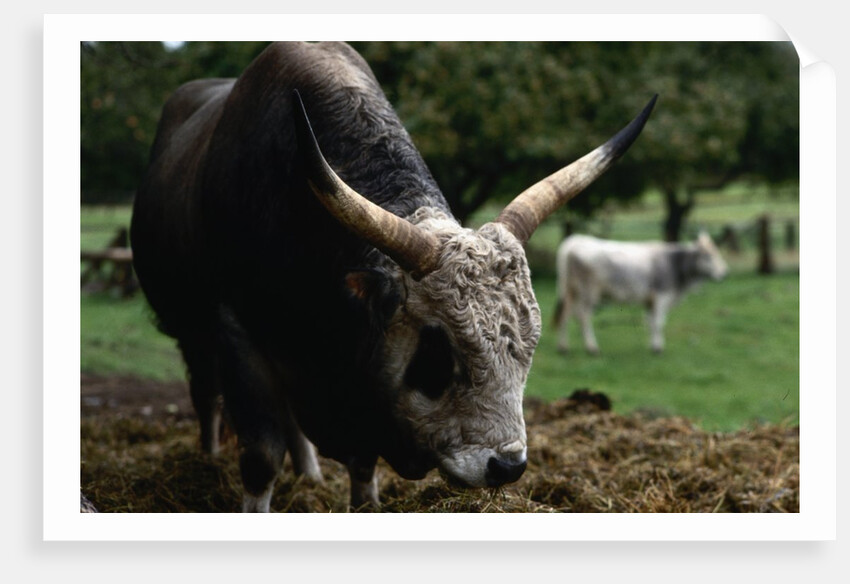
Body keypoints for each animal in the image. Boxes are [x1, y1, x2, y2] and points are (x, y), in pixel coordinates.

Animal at [130, 41, 655, 512]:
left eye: (528, 349)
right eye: (438, 350)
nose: (507, 467)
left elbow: (362, 469)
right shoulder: (237, 331)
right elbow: (261, 457)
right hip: (193, 334)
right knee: (207, 396)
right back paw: (208, 460)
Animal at [553, 231, 728, 355]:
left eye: (717, 253)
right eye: (708, 256)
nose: (724, 273)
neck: (674, 263)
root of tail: (574, 240)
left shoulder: (649, 301)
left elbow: (650, 323)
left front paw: (653, 346)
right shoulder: (661, 296)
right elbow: (658, 323)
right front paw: (658, 348)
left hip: (570, 292)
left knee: (566, 315)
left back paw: (563, 347)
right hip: (588, 293)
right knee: (583, 317)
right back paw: (592, 348)